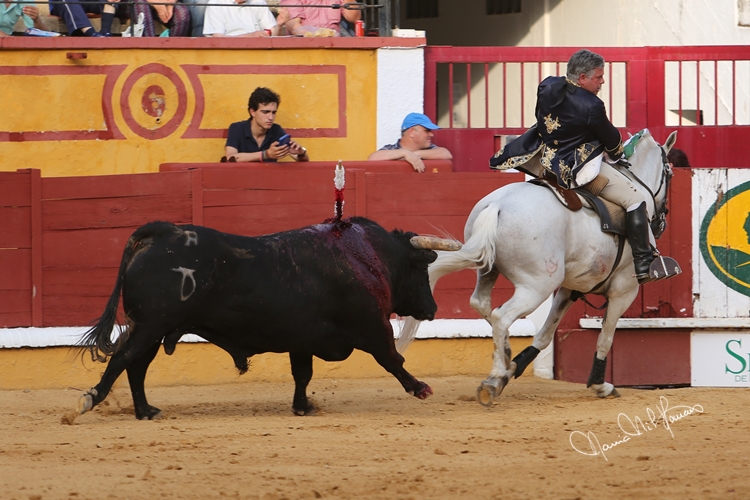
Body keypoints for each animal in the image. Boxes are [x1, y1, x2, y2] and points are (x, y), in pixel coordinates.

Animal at [75, 217, 460, 419]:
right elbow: (392, 358)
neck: (368, 256)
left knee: (135, 364)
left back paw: (145, 410)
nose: (431, 309)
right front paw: (420, 388)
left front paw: (302, 406)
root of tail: (162, 231)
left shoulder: (304, 339)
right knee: (124, 359)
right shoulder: (372, 327)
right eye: (422, 268)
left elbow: (302, 374)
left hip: (152, 329)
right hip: (151, 326)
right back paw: (91, 399)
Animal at [396, 129, 678, 406]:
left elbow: (545, 334)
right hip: (538, 286)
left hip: (489, 269)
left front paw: (513, 368)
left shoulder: (570, 288)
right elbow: (605, 337)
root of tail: (499, 205)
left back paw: (505, 356)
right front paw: (601, 385)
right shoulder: (624, 290)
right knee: (501, 315)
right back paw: (494, 378)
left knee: (482, 304)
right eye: (670, 172)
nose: (662, 222)